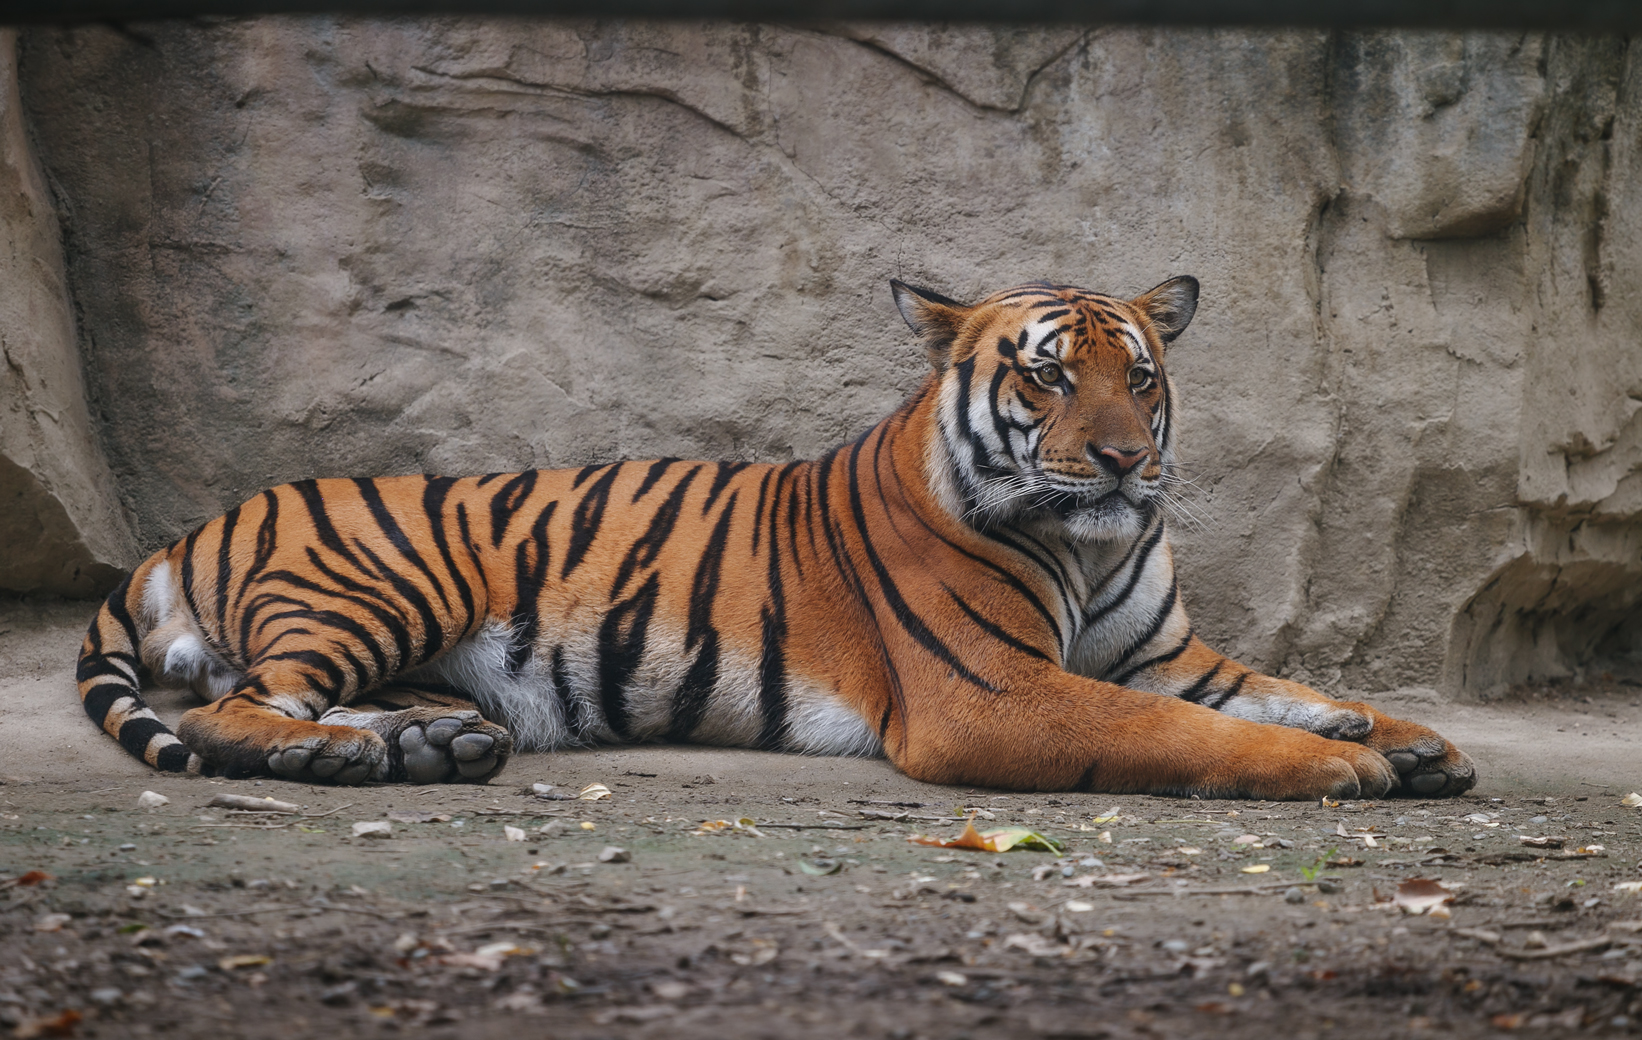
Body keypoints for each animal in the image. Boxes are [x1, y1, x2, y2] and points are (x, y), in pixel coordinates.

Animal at [75, 275, 1476, 799]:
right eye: (1046, 378)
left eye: (1137, 376)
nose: (1128, 460)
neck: (1087, 543)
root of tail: (184, 530)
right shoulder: (994, 690)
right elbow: (1190, 731)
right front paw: (1346, 765)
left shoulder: (1165, 655)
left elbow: (1282, 687)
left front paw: (1413, 740)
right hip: (383, 588)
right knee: (236, 707)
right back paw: (349, 755)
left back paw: (433, 742)